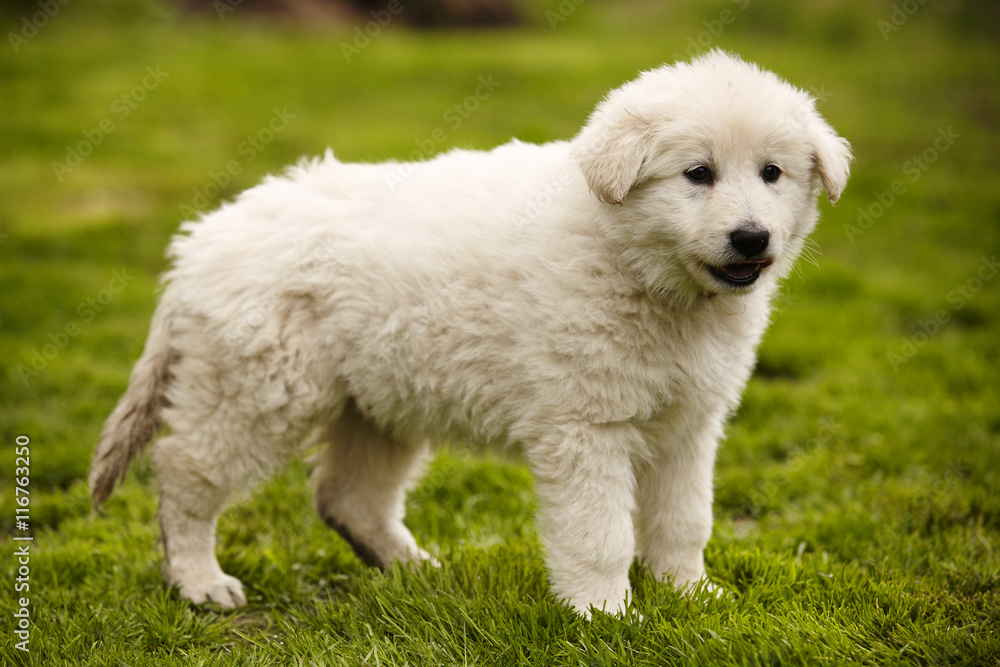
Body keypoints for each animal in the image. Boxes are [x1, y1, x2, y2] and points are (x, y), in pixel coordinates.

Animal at [90, 51, 848, 616]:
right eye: (698, 173)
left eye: (772, 173)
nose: (751, 238)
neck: (643, 271)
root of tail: (199, 241)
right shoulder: (584, 426)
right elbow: (599, 532)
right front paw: (606, 617)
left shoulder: (688, 423)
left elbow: (683, 521)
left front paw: (692, 597)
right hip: (257, 389)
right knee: (185, 472)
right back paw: (199, 581)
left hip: (377, 400)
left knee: (347, 496)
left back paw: (414, 568)